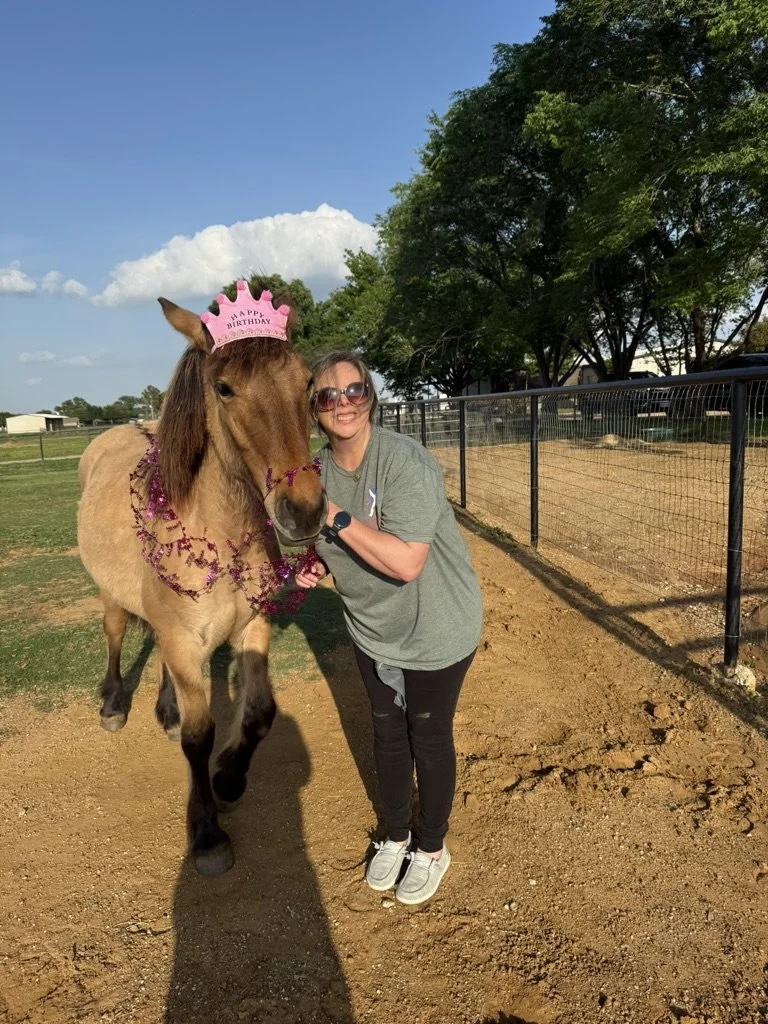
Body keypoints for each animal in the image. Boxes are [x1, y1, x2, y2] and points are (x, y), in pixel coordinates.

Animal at [77, 283, 326, 875]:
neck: (216, 527)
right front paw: (207, 832)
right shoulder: (185, 640)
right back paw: (113, 705)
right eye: (224, 387)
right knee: (115, 635)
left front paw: (229, 779)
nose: (303, 511)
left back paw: (165, 709)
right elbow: (199, 735)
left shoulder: (250, 629)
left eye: (307, 382)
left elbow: (259, 713)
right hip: (112, 596)